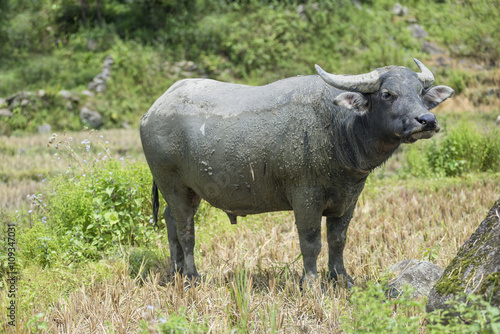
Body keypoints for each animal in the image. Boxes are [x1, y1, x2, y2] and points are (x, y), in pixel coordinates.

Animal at [140, 58, 454, 284]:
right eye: (388, 93)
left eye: (420, 93)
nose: (427, 120)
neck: (339, 127)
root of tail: (152, 112)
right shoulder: (306, 197)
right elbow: (311, 241)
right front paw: (311, 282)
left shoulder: (348, 198)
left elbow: (338, 240)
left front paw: (341, 278)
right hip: (173, 185)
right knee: (186, 229)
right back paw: (193, 276)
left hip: (187, 190)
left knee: (170, 222)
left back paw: (176, 272)